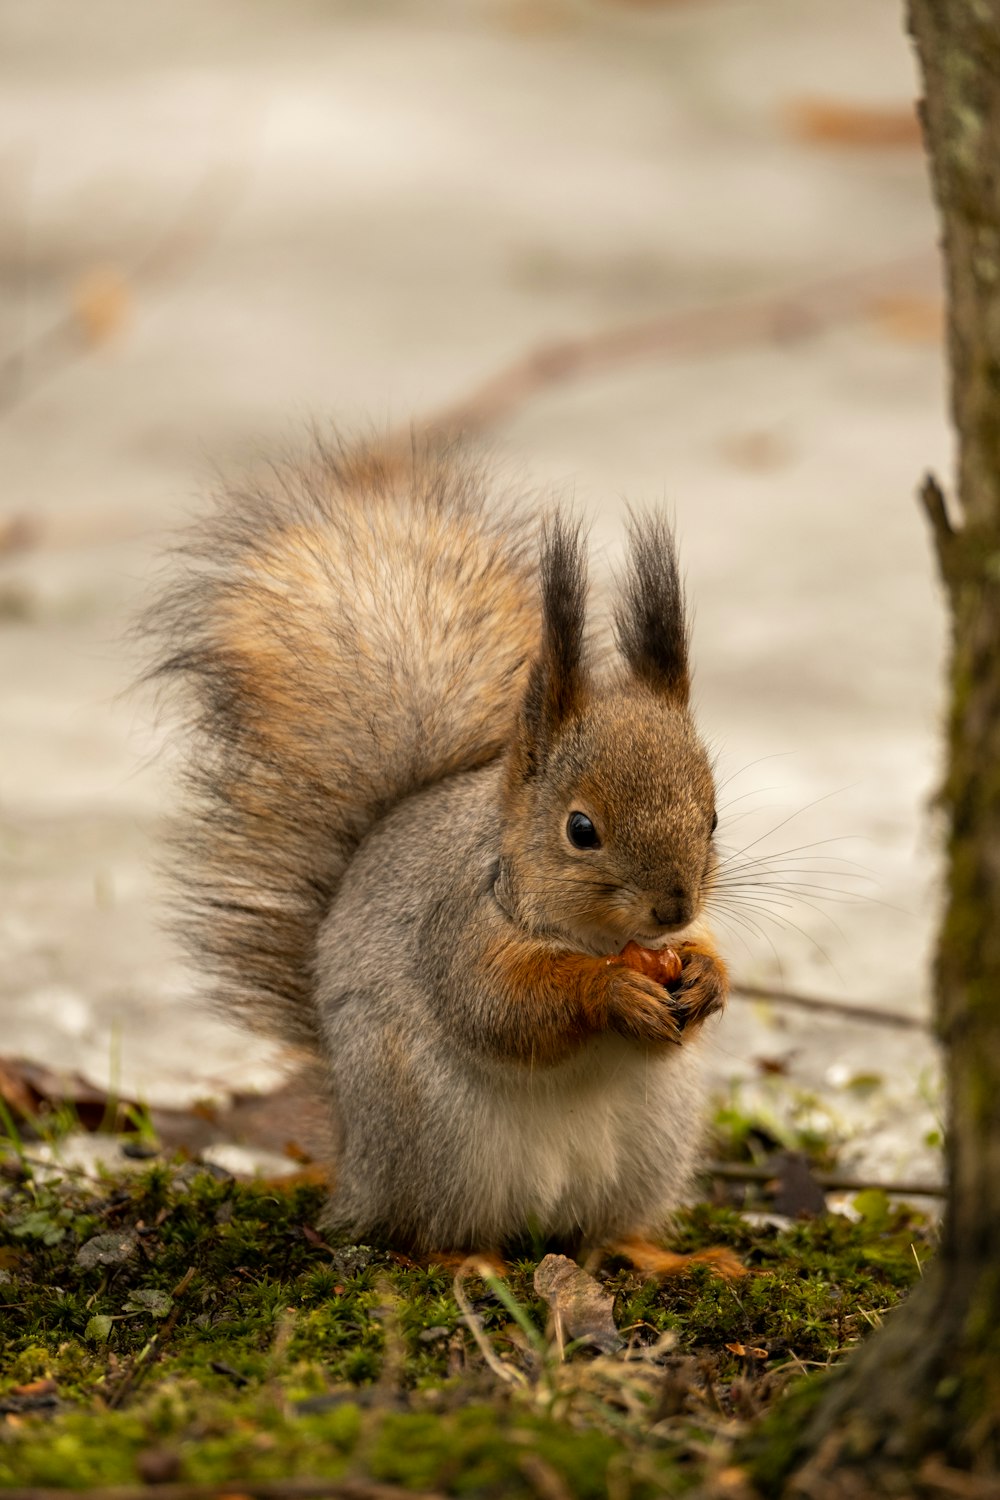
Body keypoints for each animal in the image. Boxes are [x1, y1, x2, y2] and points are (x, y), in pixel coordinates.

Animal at [150, 438, 728, 1266]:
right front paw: (612, 991)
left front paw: (709, 977)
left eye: (713, 818)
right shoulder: (459, 927)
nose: (674, 906)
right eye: (580, 829)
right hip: (435, 1134)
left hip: (654, 1141)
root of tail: (358, 1164)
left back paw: (667, 1256)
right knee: (425, 1230)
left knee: (605, 1230)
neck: (595, 935)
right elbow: (502, 1007)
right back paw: (467, 1260)